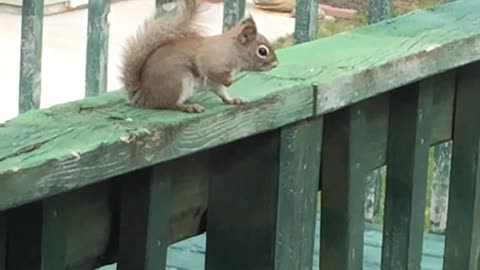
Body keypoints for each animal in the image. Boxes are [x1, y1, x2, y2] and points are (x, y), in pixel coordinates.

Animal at [117, 0, 280, 113]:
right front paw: (229, 81)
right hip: (178, 82)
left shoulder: (215, 83)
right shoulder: (212, 63)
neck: (233, 51)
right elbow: (213, 72)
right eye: (262, 51)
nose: (275, 64)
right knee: (171, 104)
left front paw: (233, 99)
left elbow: (222, 93)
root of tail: (145, 95)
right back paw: (189, 107)